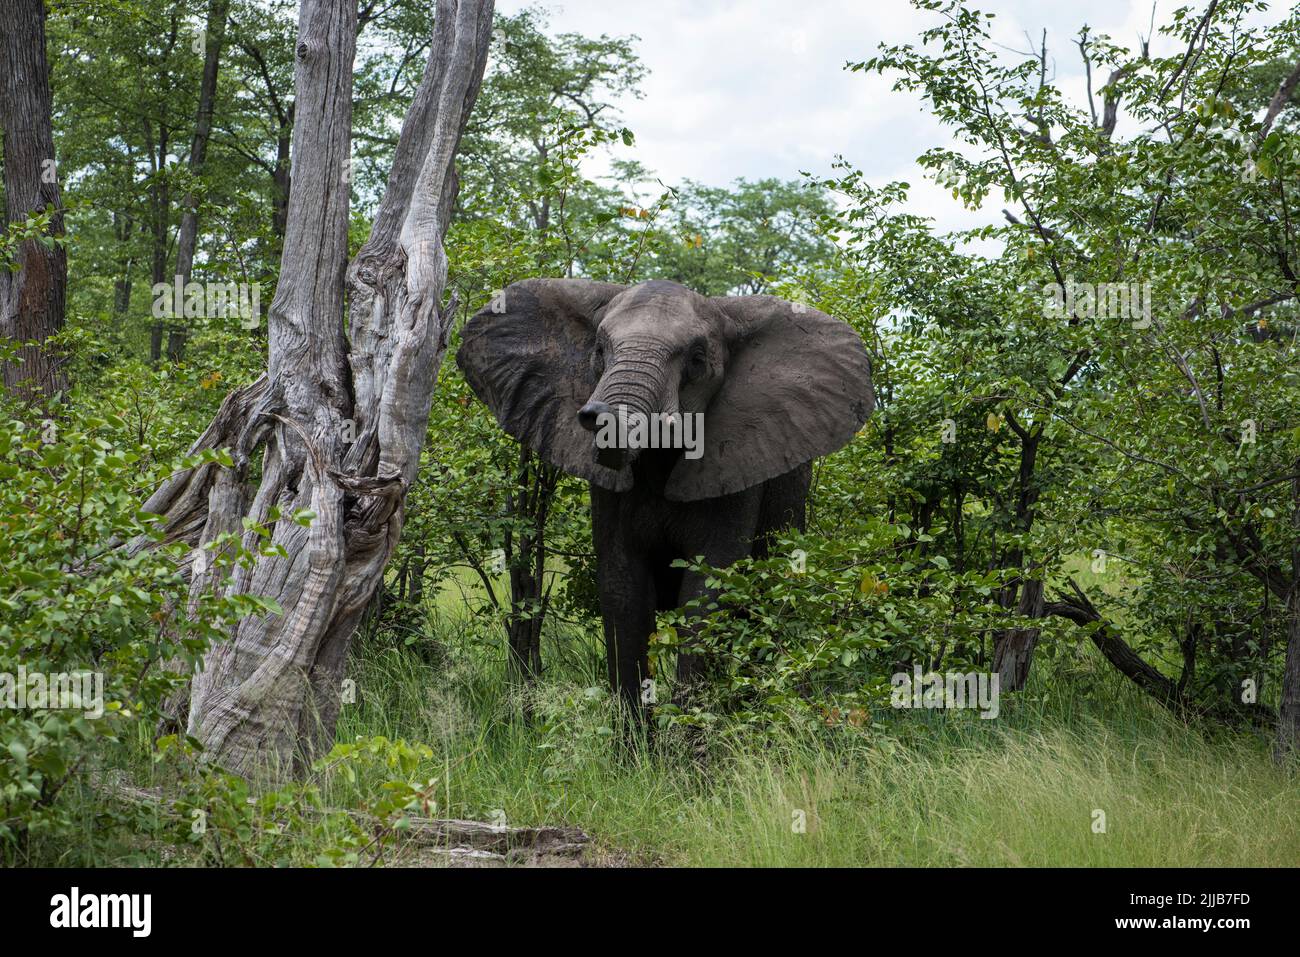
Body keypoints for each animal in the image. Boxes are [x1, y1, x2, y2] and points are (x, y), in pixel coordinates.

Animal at [456, 278, 873, 713]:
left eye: (696, 358)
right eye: (599, 350)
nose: (598, 414)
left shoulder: (737, 467)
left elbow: (709, 590)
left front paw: (693, 729)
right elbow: (623, 589)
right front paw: (634, 733)